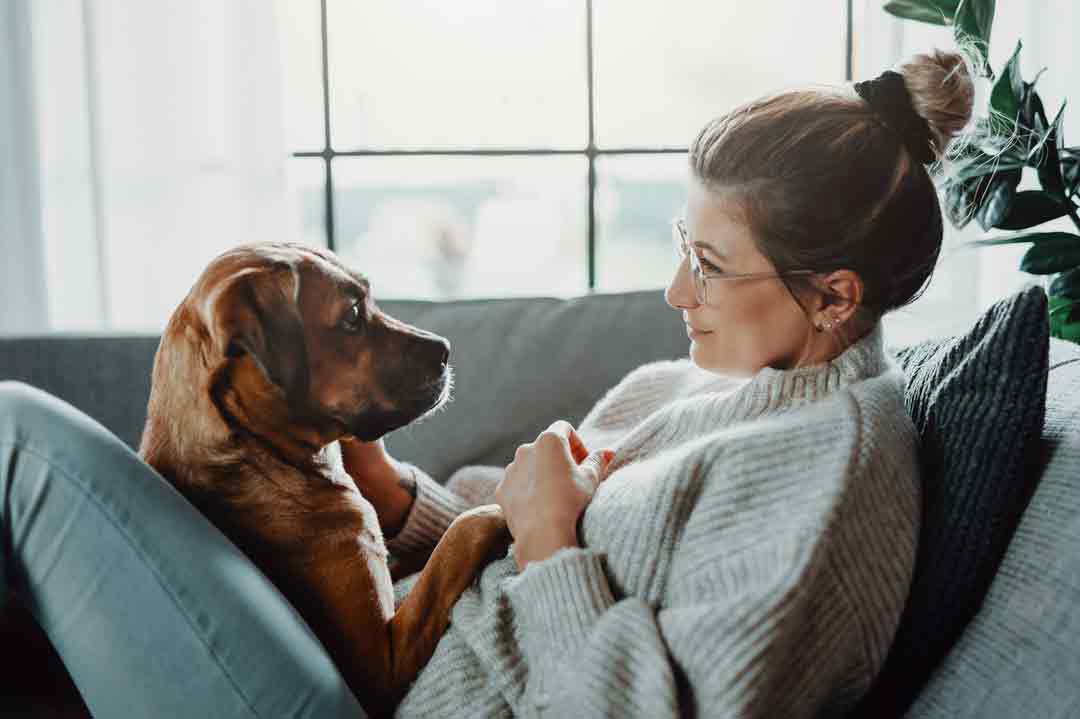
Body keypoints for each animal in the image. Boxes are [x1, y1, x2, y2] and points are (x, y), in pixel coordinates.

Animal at [139, 239, 509, 712]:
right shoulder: (381, 662)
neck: (262, 453)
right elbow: (459, 536)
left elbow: (429, 553)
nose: (446, 348)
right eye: (352, 316)